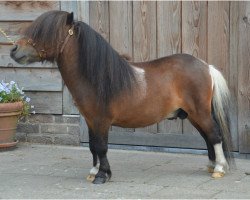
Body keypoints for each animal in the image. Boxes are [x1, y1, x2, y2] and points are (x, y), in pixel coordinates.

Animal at [9, 10, 234, 184]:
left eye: (45, 32)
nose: (13, 49)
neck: (96, 76)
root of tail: (206, 66)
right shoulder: (90, 120)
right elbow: (93, 145)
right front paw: (93, 171)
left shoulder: (101, 120)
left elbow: (101, 146)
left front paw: (102, 175)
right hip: (193, 114)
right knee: (208, 137)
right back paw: (212, 165)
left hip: (199, 112)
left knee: (214, 135)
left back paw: (219, 169)